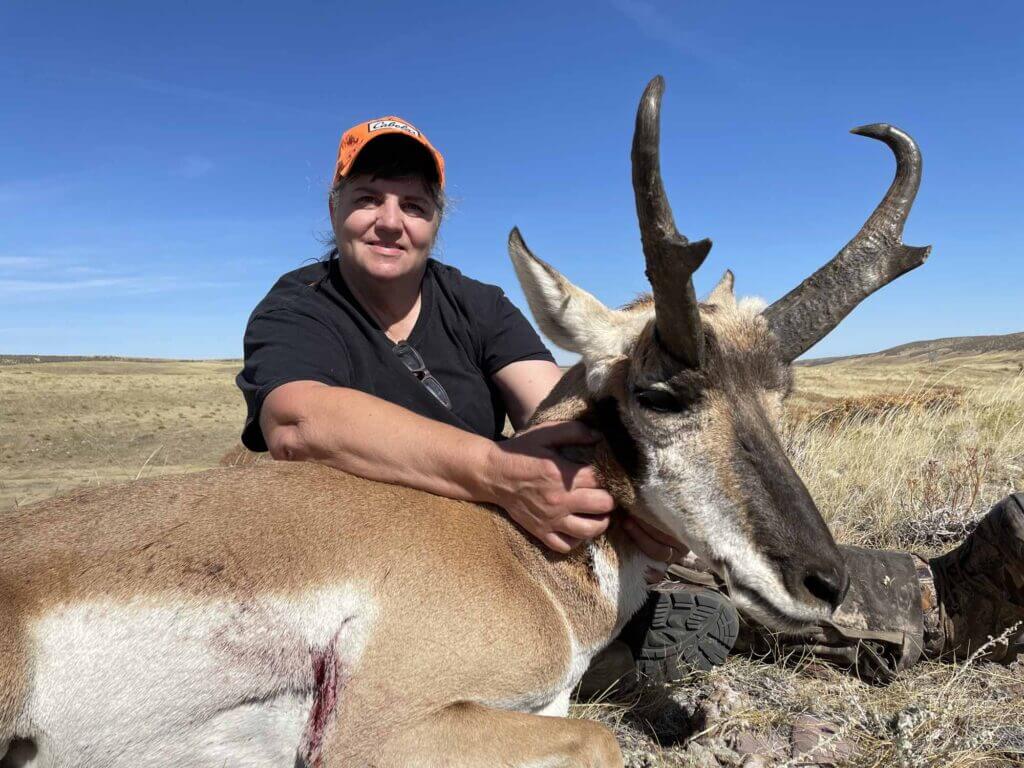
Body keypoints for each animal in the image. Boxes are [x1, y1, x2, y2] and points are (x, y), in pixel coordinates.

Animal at [0, 76, 928, 768]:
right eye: (661, 393)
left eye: (782, 391)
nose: (824, 581)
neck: (510, 547)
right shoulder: (379, 734)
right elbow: (597, 741)